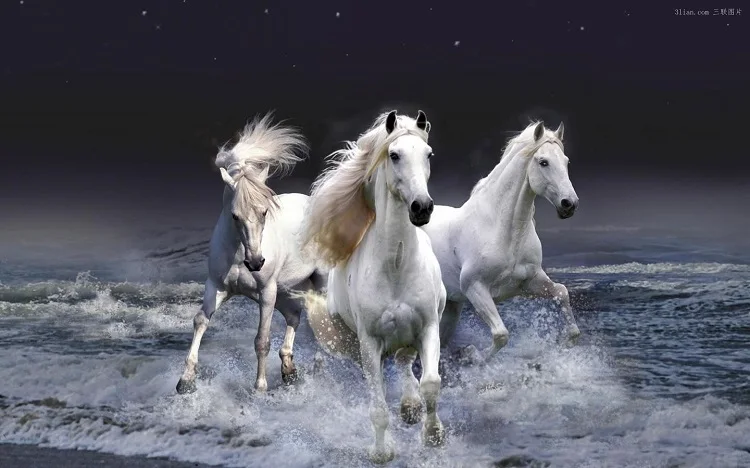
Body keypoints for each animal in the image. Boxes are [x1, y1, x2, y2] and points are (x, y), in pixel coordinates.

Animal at [176, 113, 328, 394]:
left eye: (264, 211)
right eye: (235, 215)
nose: (256, 262)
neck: (238, 255)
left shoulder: (266, 292)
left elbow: (262, 340)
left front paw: (260, 388)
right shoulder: (217, 286)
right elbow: (200, 320)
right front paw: (186, 381)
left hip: (317, 283)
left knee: (323, 321)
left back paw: (318, 366)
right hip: (286, 290)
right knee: (294, 316)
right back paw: (289, 370)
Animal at [295, 110, 447, 463]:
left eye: (428, 154)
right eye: (394, 155)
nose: (422, 207)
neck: (396, 266)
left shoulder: (428, 327)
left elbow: (431, 383)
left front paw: (433, 435)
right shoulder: (369, 343)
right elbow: (377, 406)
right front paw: (381, 452)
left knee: (405, 363)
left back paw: (410, 407)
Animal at [420, 121, 581, 362]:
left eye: (566, 161)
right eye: (543, 162)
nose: (569, 204)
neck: (503, 231)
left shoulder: (530, 282)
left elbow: (562, 292)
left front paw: (565, 342)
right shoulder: (475, 288)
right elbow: (501, 334)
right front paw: (473, 355)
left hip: (451, 306)